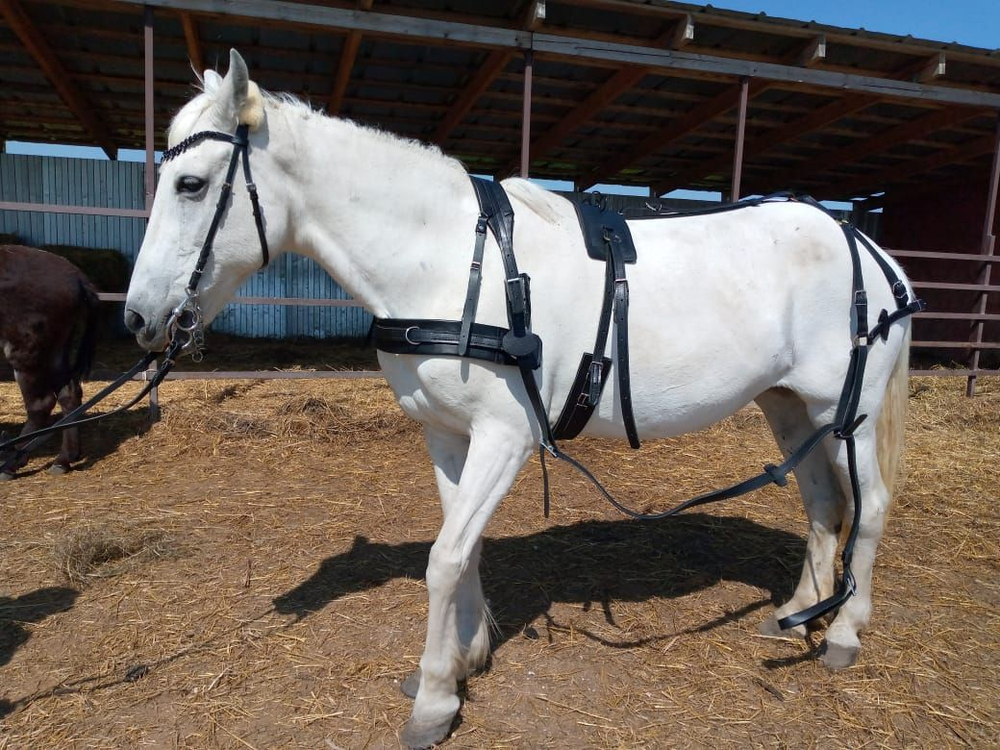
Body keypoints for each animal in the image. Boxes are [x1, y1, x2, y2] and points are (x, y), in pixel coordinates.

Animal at [0, 244, 101, 478]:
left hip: (25, 350)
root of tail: (76, 275)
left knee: (41, 403)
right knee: (68, 394)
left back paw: (12, 462)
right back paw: (64, 459)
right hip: (54, 350)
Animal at [124, 50, 914, 748]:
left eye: (190, 184)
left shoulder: (505, 438)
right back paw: (799, 610)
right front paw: (466, 659)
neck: (446, 258)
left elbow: (444, 558)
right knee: (823, 504)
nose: (137, 318)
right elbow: (462, 546)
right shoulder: (446, 435)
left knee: (869, 506)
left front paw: (435, 698)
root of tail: (869, 248)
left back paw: (844, 632)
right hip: (789, 406)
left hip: (848, 412)